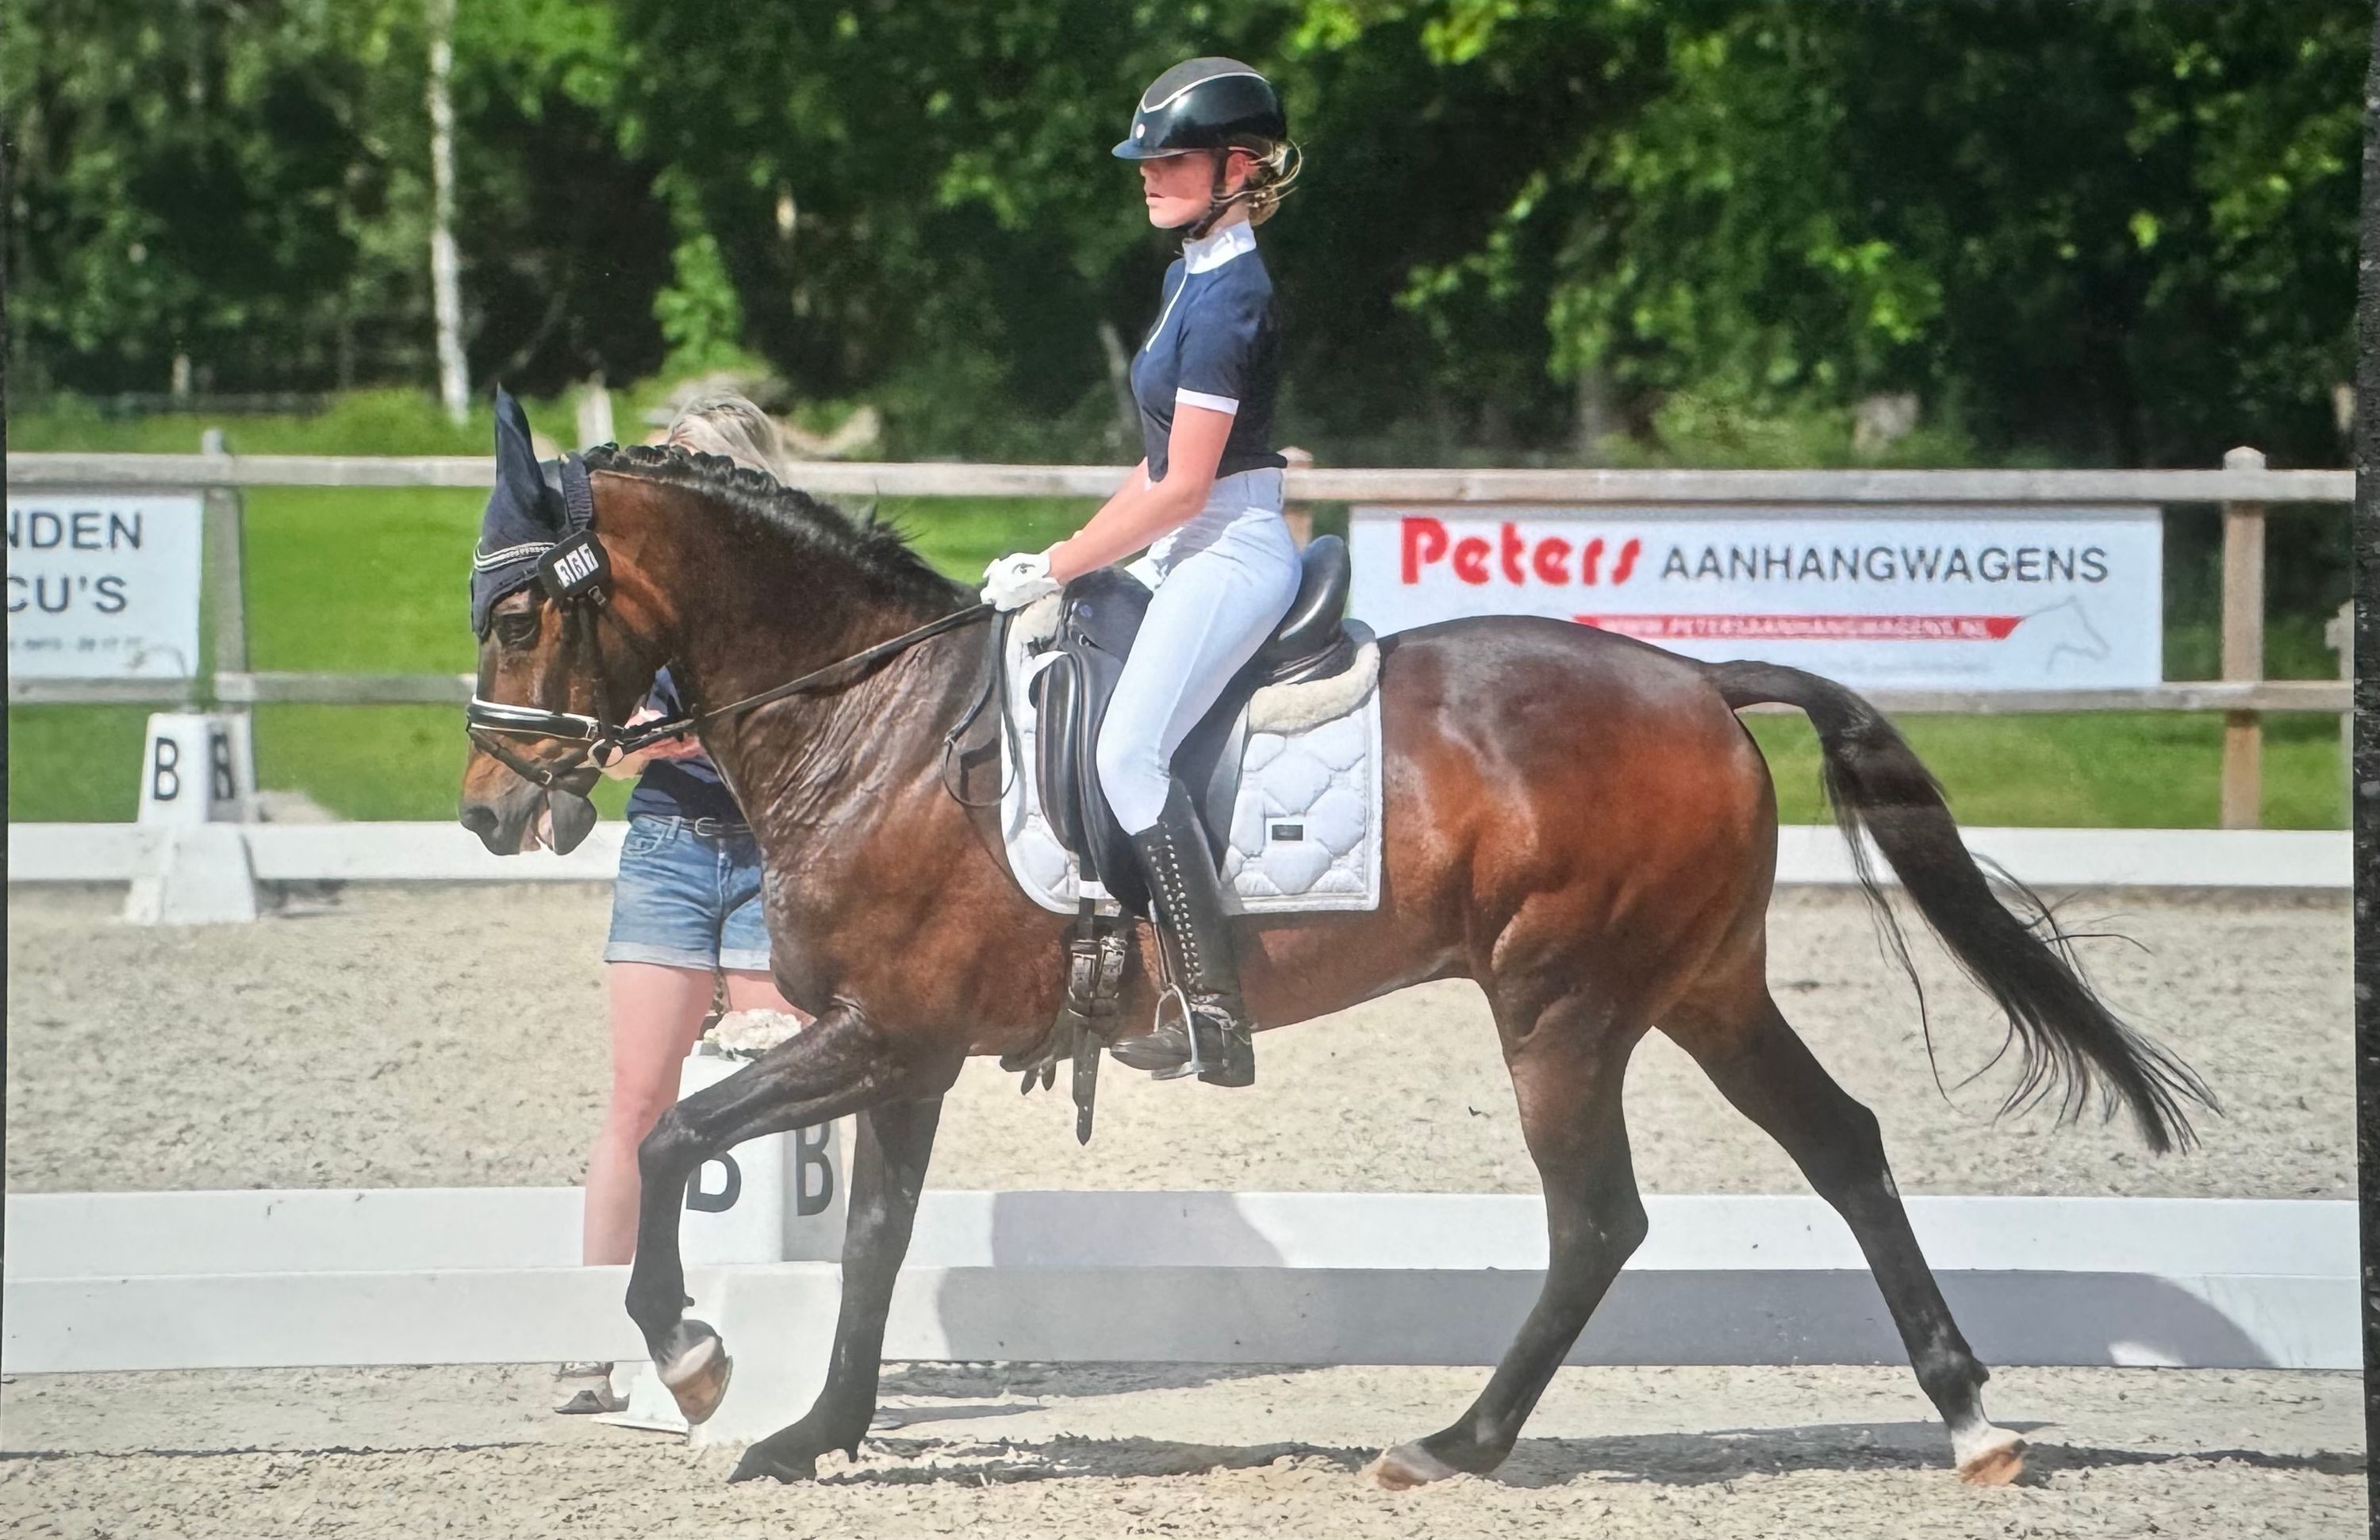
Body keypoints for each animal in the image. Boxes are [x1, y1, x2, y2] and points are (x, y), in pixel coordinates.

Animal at [458, 440, 2209, 1490]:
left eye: (520, 618)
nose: (487, 807)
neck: (872, 717)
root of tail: (1699, 678)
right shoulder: (908, 1046)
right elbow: (876, 1239)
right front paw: (811, 1431)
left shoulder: (888, 1031)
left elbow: (677, 1137)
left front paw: (694, 1364)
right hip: (1703, 986)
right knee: (1843, 1145)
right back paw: (1971, 1418)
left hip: (1564, 1003)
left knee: (1601, 1216)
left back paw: (1457, 1442)